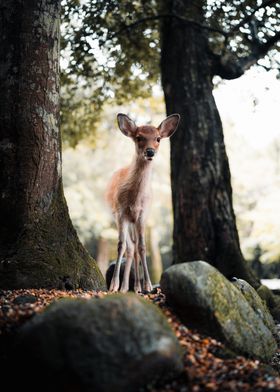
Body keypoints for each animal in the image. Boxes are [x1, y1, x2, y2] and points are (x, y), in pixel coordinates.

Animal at [106, 112, 180, 290]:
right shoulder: (121, 213)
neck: (134, 200)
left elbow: (143, 247)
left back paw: (137, 287)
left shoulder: (142, 214)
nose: (150, 151)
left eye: (158, 138)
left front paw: (148, 285)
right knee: (130, 247)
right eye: (139, 137)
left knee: (135, 247)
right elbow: (121, 246)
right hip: (119, 217)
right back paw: (126, 287)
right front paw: (113, 285)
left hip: (136, 221)